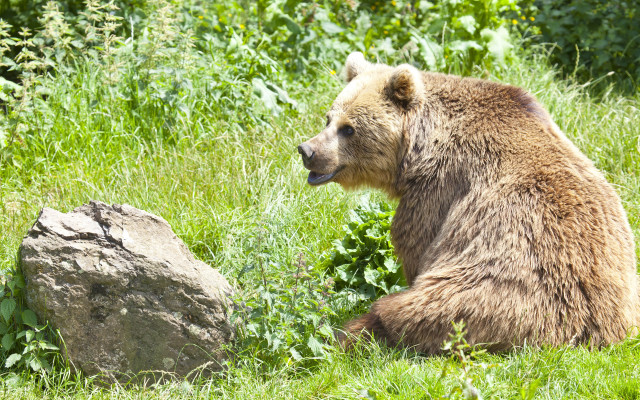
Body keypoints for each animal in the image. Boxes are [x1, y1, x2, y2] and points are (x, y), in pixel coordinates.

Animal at [297, 52, 638, 354]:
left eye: (349, 128)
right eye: (328, 118)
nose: (307, 150)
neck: (421, 148)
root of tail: (590, 331)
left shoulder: (438, 189)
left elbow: (415, 244)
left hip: (493, 293)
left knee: (409, 311)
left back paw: (343, 334)